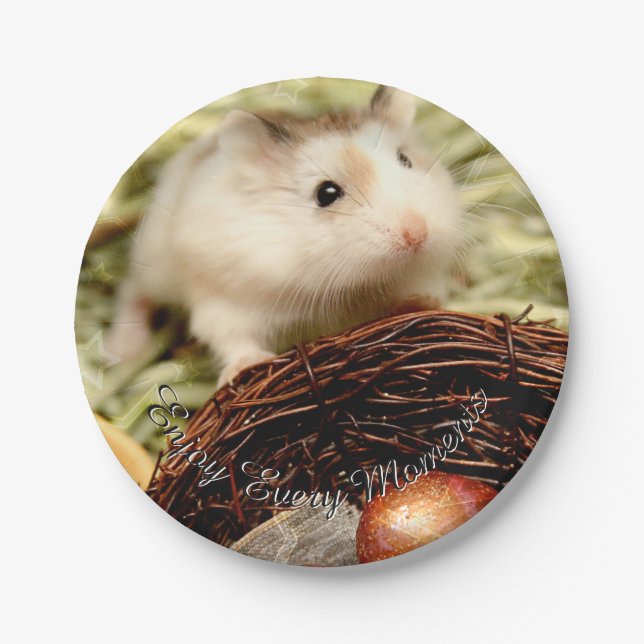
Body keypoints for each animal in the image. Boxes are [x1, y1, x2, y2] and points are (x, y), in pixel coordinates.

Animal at [107, 85, 468, 387]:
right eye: (326, 193)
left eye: (406, 160)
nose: (417, 235)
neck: (352, 283)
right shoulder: (225, 301)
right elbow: (232, 339)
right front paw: (246, 367)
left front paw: (419, 304)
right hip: (153, 265)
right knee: (132, 291)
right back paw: (124, 352)